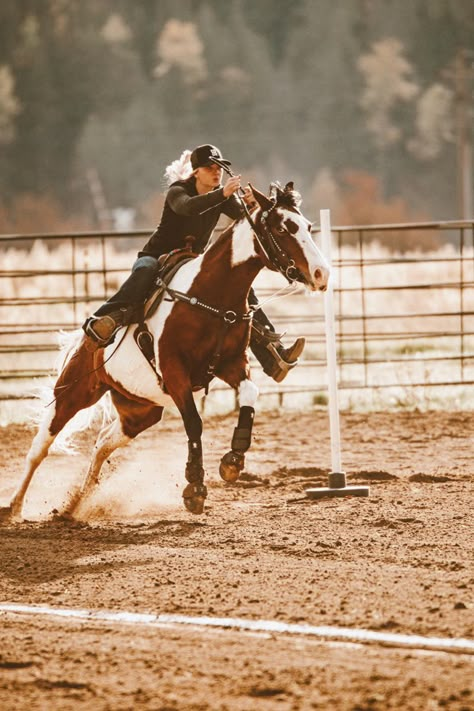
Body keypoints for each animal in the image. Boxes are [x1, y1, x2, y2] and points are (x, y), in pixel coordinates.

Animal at [2, 181, 330, 520]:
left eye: (307, 226)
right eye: (282, 228)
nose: (322, 273)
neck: (210, 296)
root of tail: (85, 340)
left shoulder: (231, 364)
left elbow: (250, 395)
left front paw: (233, 460)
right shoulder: (175, 373)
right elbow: (194, 423)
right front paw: (195, 487)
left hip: (139, 411)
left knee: (103, 442)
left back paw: (78, 502)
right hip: (72, 392)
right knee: (40, 448)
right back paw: (15, 506)